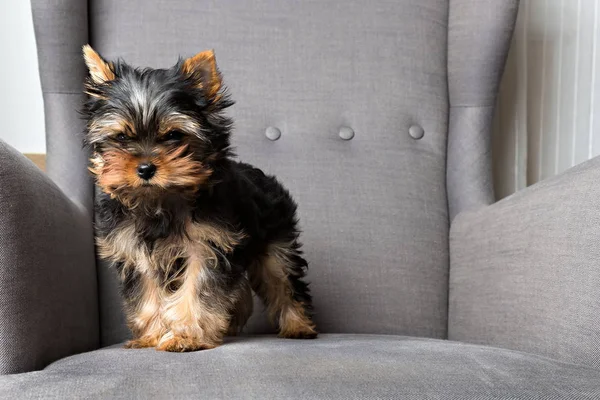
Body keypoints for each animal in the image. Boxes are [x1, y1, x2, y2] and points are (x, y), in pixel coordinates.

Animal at [83, 45, 318, 352]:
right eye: (122, 137)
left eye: (174, 135)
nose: (145, 169)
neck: (160, 200)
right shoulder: (135, 250)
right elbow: (148, 293)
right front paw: (153, 335)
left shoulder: (208, 244)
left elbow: (197, 287)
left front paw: (185, 335)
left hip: (276, 242)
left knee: (283, 280)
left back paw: (298, 326)